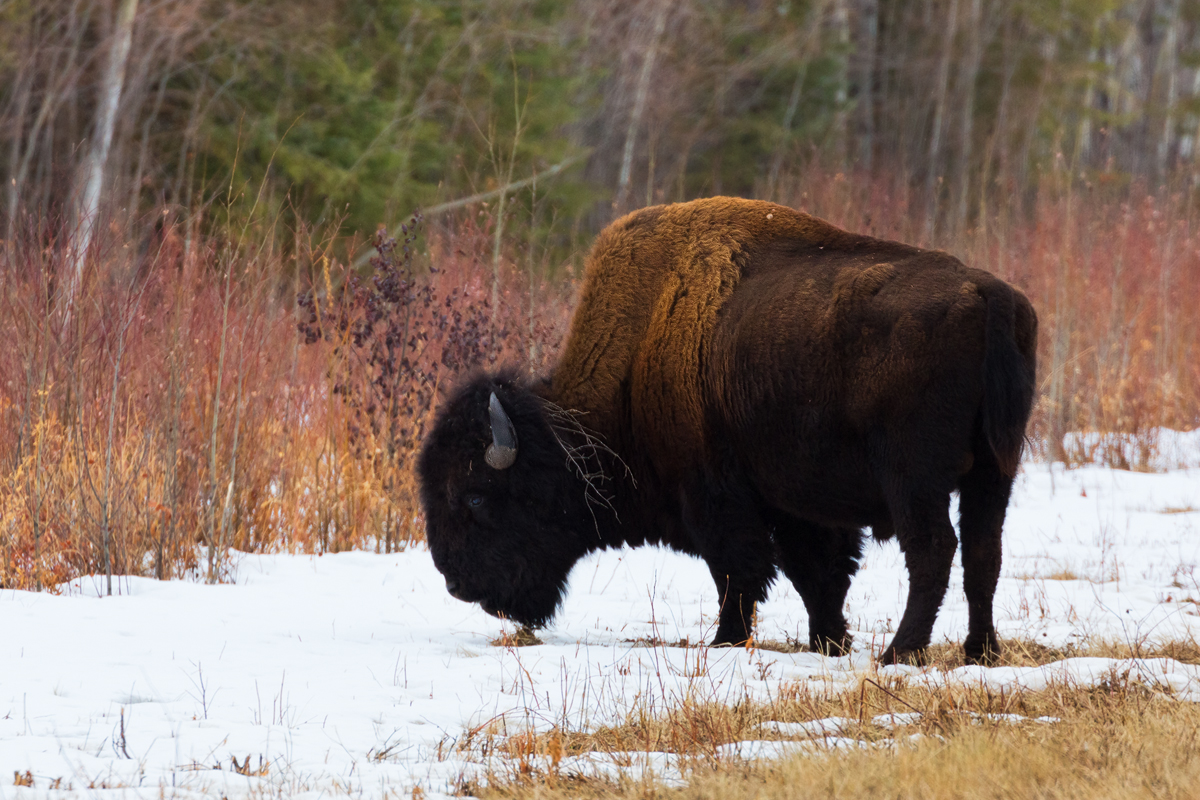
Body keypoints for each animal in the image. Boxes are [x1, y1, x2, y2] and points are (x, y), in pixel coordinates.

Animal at [417, 196, 1036, 666]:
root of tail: (990, 296)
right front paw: (827, 643)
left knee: (934, 549)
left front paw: (725, 642)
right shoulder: (795, 506)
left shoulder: (717, 498)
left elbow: (741, 571)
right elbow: (819, 575)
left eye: (474, 495)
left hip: (914, 479)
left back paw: (900, 654)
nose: (455, 582)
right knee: (984, 551)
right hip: (995, 470)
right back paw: (980, 652)